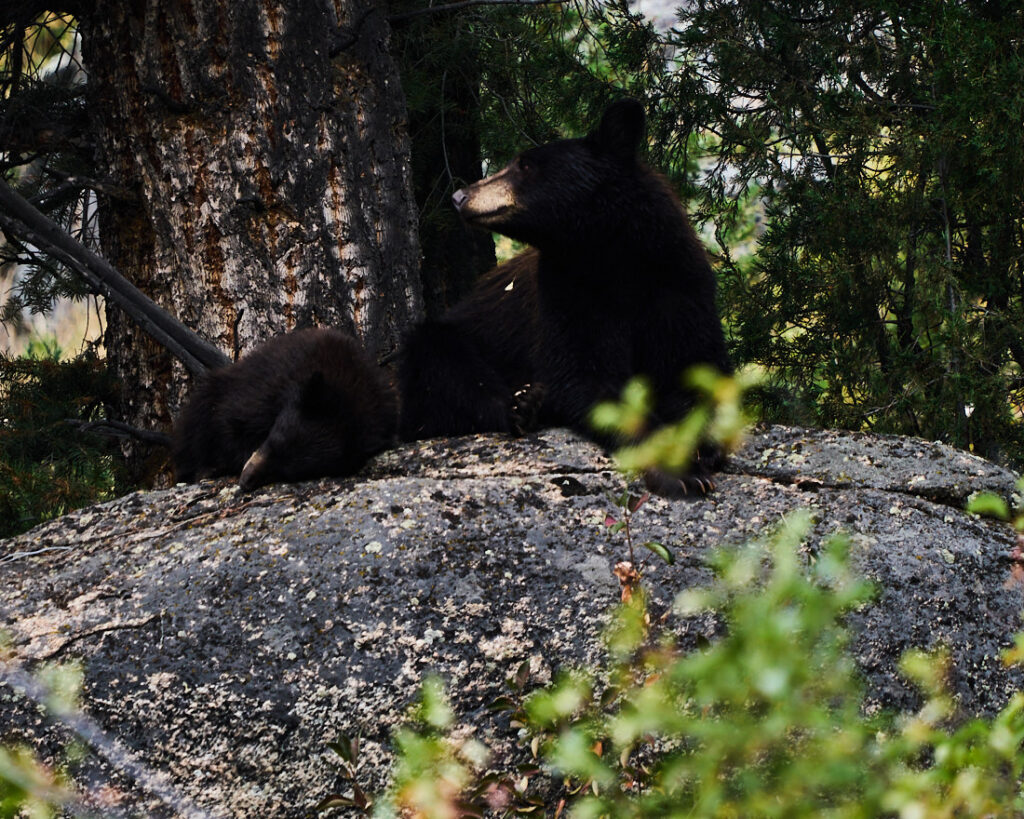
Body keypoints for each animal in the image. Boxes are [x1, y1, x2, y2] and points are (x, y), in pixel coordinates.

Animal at [398, 98, 731, 497]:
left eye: (524, 164)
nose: (460, 196)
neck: (612, 256)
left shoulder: (679, 284)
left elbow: (695, 367)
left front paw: (705, 447)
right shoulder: (567, 292)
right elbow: (583, 374)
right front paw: (681, 472)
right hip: (452, 341)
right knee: (443, 362)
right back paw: (524, 406)